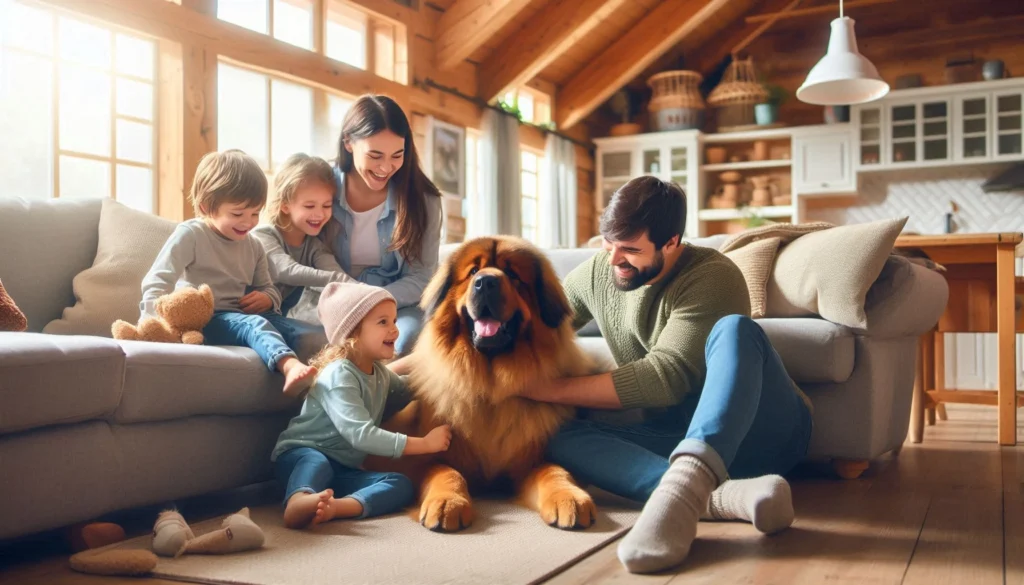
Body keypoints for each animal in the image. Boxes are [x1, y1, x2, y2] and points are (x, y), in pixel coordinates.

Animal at [368, 235, 598, 532]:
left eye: (513, 274)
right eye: (474, 272)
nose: (486, 282)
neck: (489, 383)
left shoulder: (529, 462)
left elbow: (555, 471)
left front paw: (568, 497)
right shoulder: (427, 459)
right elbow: (445, 472)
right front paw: (447, 502)